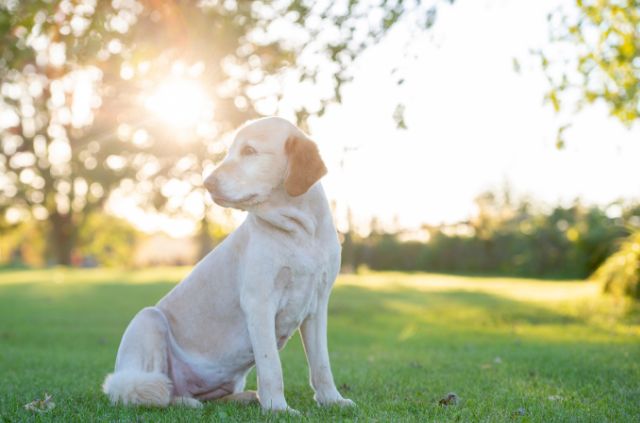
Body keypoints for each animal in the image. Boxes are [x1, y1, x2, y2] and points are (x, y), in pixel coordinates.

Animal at [102, 117, 352, 414]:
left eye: (249, 151)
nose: (207, 183)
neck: (302, 231)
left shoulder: (317, 305)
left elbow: (321, 365)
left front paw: (332, 400)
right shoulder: (259, 302)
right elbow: (272, 367)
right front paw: (278, 409)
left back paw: (246, 397)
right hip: (148, 320)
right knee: (155, 393)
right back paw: (186, 401)